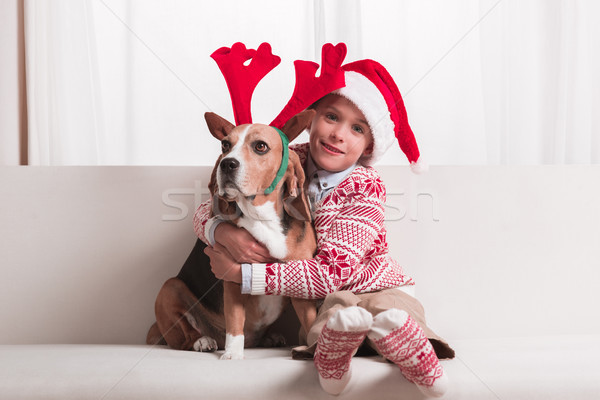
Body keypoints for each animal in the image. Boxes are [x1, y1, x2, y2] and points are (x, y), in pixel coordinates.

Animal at [149, 108, 318, 360]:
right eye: (225, 145)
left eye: (260, 146)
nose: (227, 164)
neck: (261, 216)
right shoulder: (232, 277)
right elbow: (236, 318)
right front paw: (232, 354)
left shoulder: (301, 282)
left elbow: (311, 322)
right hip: (170, 288)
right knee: (184, 338)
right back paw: (203, 340)